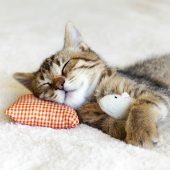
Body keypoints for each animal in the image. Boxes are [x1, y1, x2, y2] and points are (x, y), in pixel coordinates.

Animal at [13, 22, 170, 149]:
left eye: (65, 66)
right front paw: (125, 128)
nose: (59, 85)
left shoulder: (156, 90)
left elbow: (142, 105)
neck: (94, 98)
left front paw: (141, 131)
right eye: (45, 84)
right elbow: (110, 124)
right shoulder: (96, 121)